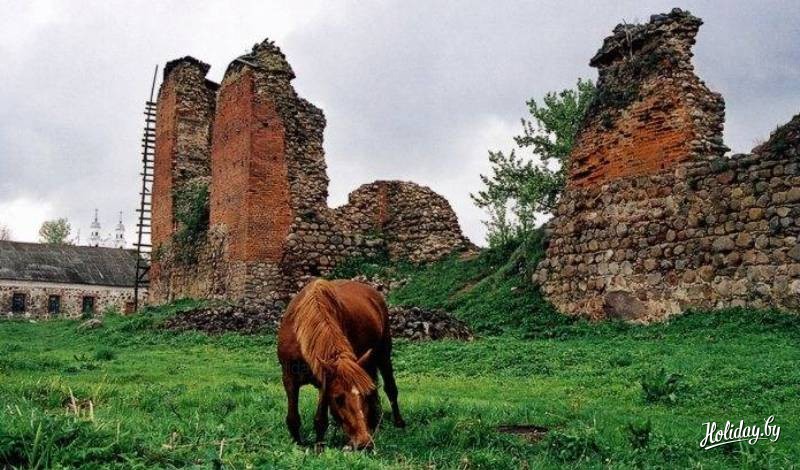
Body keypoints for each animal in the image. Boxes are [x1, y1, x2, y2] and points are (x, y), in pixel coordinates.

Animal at [277, 278, 406, 449]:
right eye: (338, 398)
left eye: (362, 395)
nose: (364, 443)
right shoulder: (289, 378)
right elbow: (293, 417)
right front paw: (298, 444)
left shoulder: (324, 382)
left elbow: (320, 419)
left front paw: (319, 447)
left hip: (383, 354)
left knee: (390, 388)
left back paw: (397, 423)